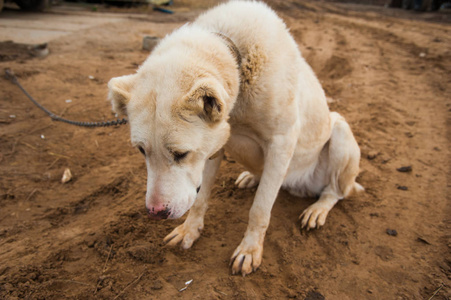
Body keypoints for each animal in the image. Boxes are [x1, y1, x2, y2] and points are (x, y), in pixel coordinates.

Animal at [108, 0, 364, 276]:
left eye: (181, 154)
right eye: (141, 151)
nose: (155, 213)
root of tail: (299, 185)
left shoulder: (282, 142)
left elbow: (260, 209)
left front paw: (250, 250)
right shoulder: (213, 146)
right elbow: (200, 198)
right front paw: (190, 230)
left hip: (339, 132)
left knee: (335, 192)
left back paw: (317, 209)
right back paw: (252, 177)